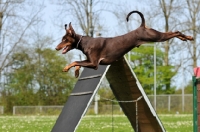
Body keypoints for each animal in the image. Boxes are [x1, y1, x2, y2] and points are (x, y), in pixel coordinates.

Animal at [55, 10, 193, 78]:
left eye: (64, 39)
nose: (56, 48)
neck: (85, 42)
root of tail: (141, 26)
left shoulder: (94, 64)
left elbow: (75, 61)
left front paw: (66, 68)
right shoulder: (90, 61)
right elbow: (78, 62)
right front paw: (76, 71)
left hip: (156, 37)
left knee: (175, 32)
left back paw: (188, 37)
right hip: (155, 35)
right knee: (172, 32)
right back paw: (185, 38)